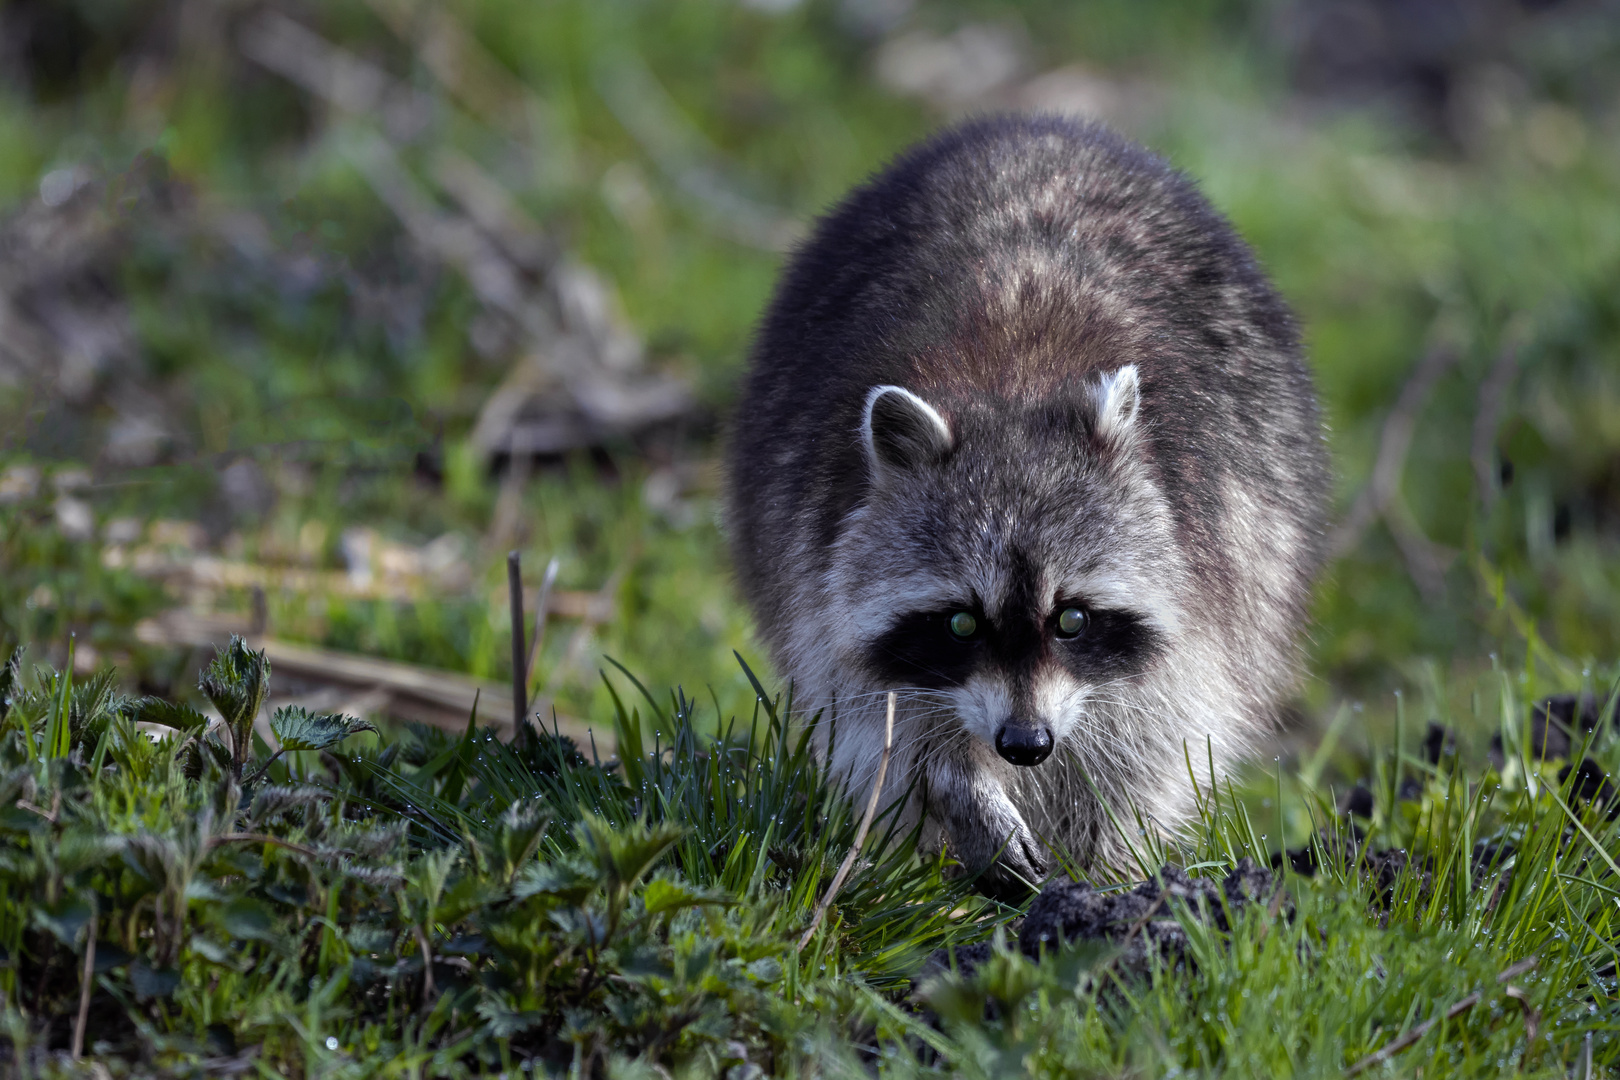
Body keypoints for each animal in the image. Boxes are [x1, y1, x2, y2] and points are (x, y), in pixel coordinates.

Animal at [725, 116, 1328, 893]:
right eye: (959, 623)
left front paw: (1101, 878)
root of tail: (1035, 126)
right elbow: (882, 723)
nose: (1025, 743)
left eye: (1072, 618)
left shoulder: (1208, 567)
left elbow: (1152, 742)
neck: (1010, 385)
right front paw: (961, 787)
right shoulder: (818, 559)